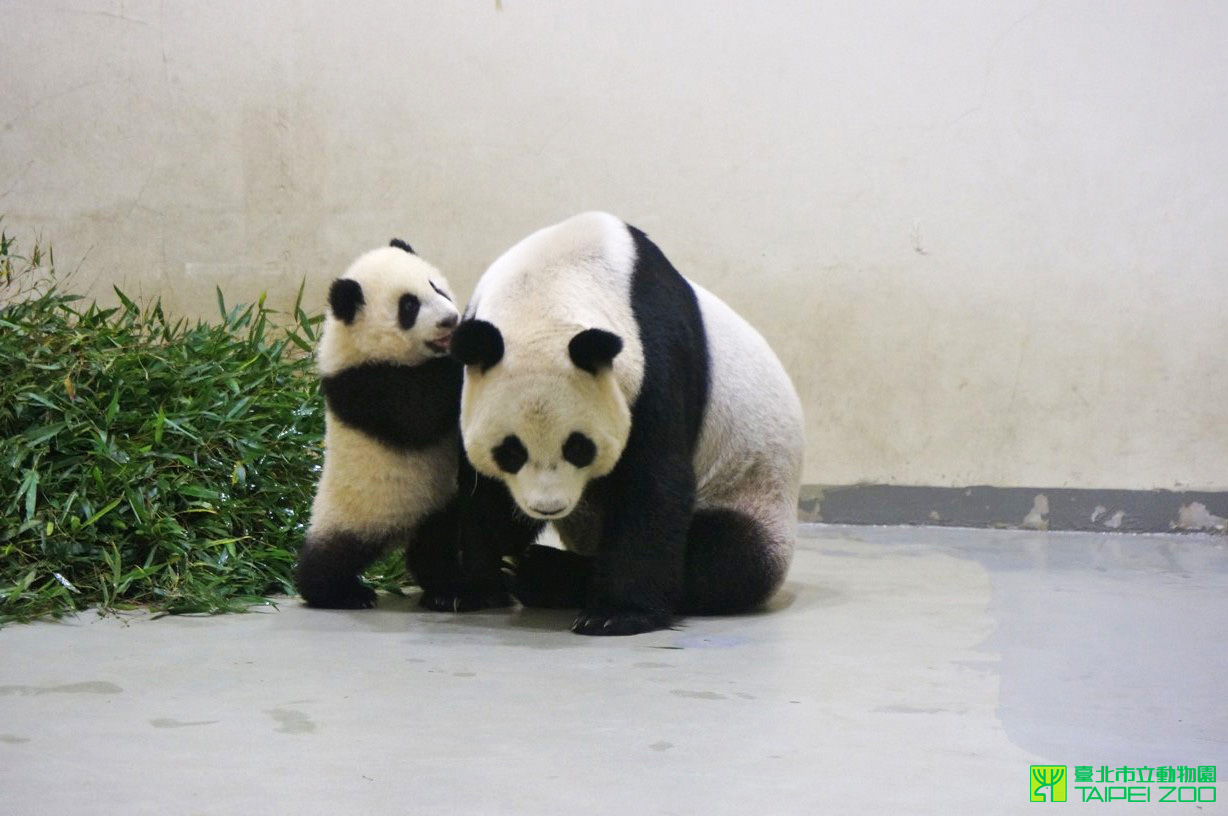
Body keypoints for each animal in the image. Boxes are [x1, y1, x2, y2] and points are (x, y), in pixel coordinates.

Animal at [297, 239, 464, 609]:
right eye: (409, 306)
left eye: (436, 287)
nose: (450, 320)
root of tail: (397, 533)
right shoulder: (365, 385)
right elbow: (421, 415)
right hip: (353, 510)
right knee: (330, 558)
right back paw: (341, 593)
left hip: (437, 507)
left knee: (437, 549)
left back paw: (446, 590)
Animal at [446, 213, 800, 634]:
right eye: (511, 451)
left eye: (578, 447)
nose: (548, 508)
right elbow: (481, 492)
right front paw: (469, 589)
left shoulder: (657, 359)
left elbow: (654, 483)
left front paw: (616, 614)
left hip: (751, 492)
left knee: (728, 557)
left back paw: (548, 573)